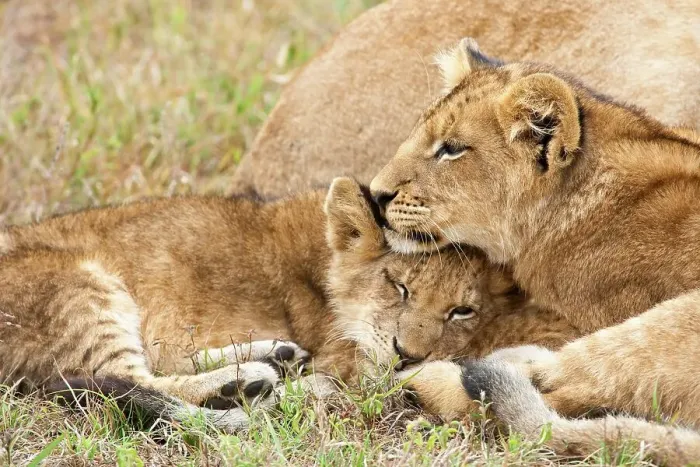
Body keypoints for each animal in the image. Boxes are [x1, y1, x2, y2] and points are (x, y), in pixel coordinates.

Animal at [0, 176, 579, 432]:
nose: (408, 354)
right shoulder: (351, 363)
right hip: (82, 283)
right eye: (398, 286)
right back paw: (246, 386)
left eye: (462, 311)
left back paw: (270, 358)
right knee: (119, 380)